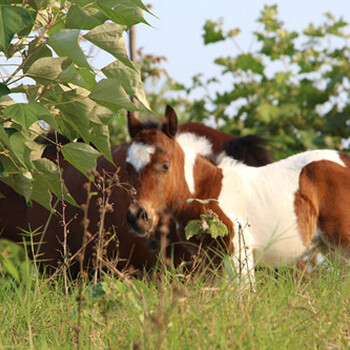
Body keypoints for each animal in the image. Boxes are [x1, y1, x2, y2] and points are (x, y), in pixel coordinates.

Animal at [126, 104, 350, 284]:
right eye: (128, 167)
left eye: (165, 166)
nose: (137, 217)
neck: (207, 190)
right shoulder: (209, 261)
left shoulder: (238, 253)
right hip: (330, 248)